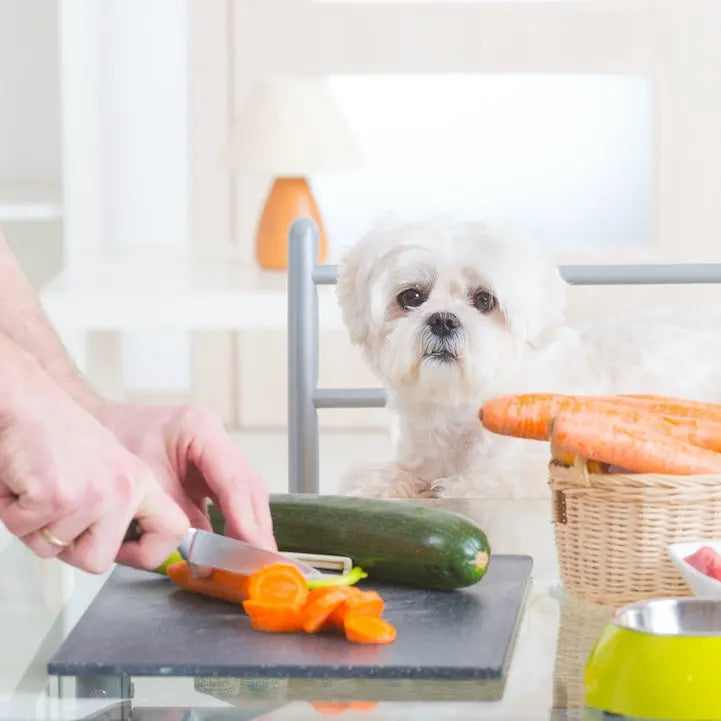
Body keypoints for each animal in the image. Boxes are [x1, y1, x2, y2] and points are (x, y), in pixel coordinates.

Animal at [338, 219, 721, 498]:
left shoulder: (522, 469)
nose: (443, 320)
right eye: (412, 297)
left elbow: (478, 483)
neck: (460, 405)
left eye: (484, 300)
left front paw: (450, 488)